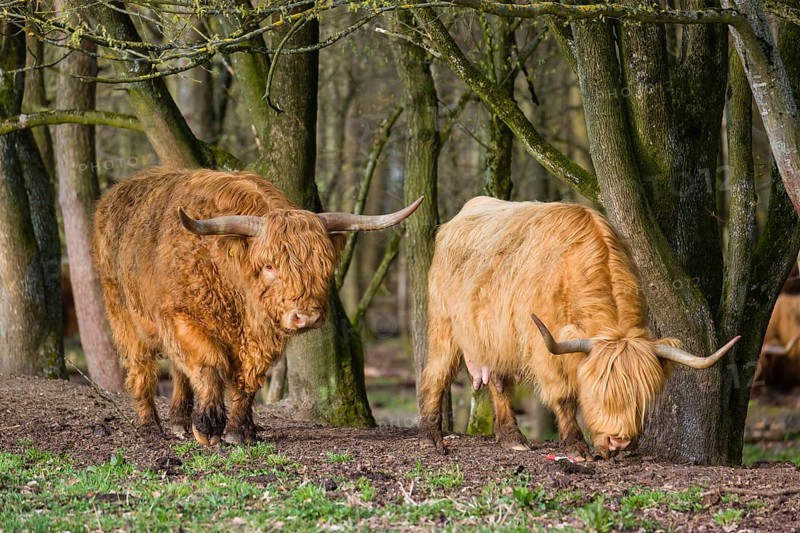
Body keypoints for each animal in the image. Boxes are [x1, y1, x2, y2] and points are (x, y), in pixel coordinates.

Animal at [92, 167, 421, 446]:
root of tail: (115, 193)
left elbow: (247, 380)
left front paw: (239, 431)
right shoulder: (182, 317)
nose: (306, 316)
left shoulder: (261, 336)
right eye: (269, 266)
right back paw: (151, 427)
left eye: (324, 266)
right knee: (142, 368)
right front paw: (208, 427)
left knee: (177, 370)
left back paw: (177, 423)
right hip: (122, 313)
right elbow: (210, 366)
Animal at [419, 197, 738, 461]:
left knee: (498, 381)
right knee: (437, 373)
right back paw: (432, 437)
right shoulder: (544, 349)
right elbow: (564, 397)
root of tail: (457, 217)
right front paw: (576, 445)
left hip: (496, 337)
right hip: (444, 322)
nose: (619, 443)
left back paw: (512, 438)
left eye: (641, 397)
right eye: (597, 393)